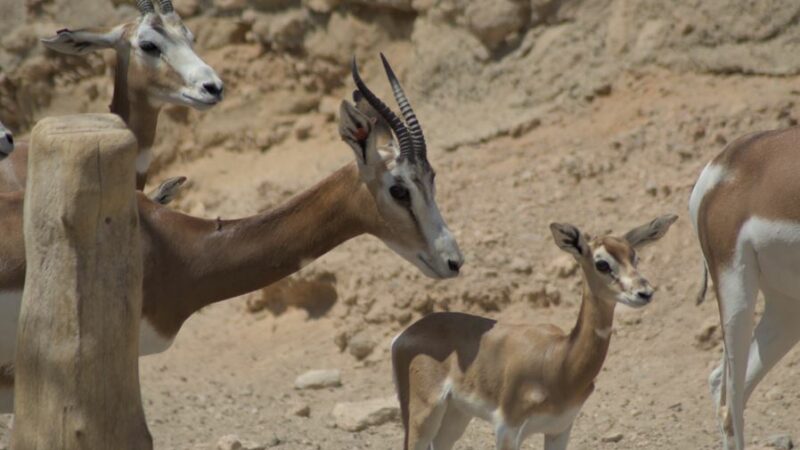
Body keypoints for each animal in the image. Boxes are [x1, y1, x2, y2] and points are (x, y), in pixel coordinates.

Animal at [390, 215, 680, 450]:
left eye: (635, 257)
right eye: (602, 264)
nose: (644, 292)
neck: (559, 363)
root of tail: (404, 335)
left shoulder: (560, 429)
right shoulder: (507, 429)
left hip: (455, 416)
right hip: (423, 414)